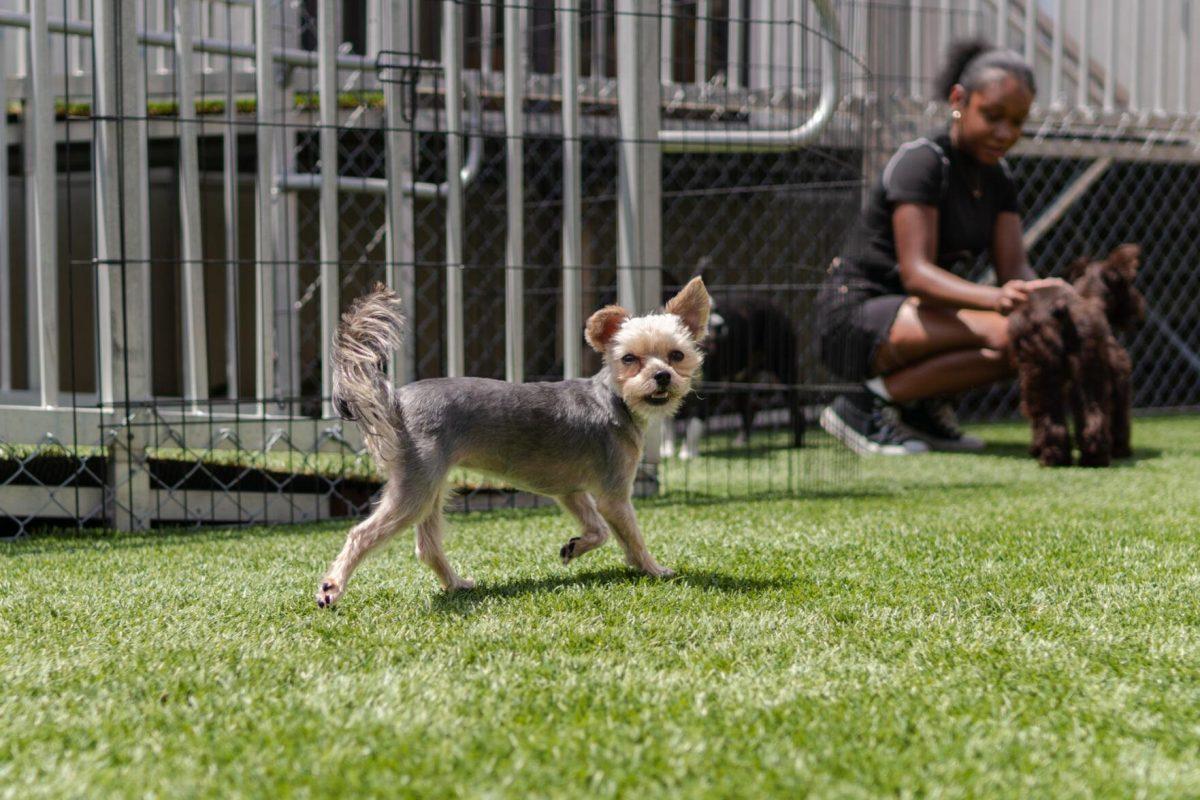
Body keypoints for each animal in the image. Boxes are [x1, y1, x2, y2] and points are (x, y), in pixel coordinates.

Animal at [319, 277, 710, 606]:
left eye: (677, 355)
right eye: (629, 359)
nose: (662, 376)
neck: (614, 399)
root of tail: (396, 400)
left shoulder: (570, 491)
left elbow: (598, 530)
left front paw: (575, 547)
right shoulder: (614, 496)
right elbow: (631, 537)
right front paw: (654, 570)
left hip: (431, 487)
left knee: (426, 547)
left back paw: (455, 584)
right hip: (416, 491)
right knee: (360, 534)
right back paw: (332, 588)